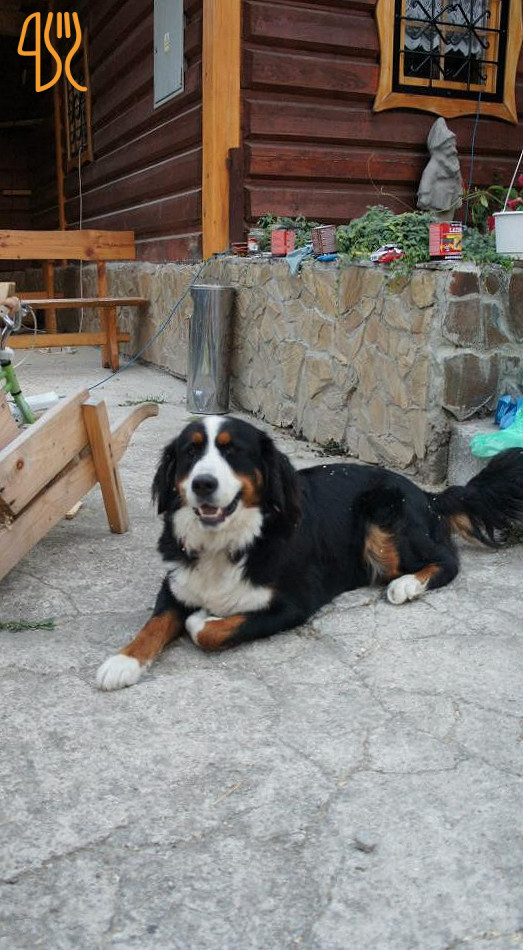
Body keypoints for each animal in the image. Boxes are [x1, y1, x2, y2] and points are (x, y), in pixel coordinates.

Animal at [96, 415, 523, 690]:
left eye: (234, 453)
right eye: (190, 452)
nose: (203, 484)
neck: (230, 541)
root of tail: (427, 494)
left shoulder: (295, 603)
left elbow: (213, 630)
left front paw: (202, 619)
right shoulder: (177, 582)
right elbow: (155, 623)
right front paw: (123, 661)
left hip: (385, 520)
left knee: (447, 562)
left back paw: (406, 586)